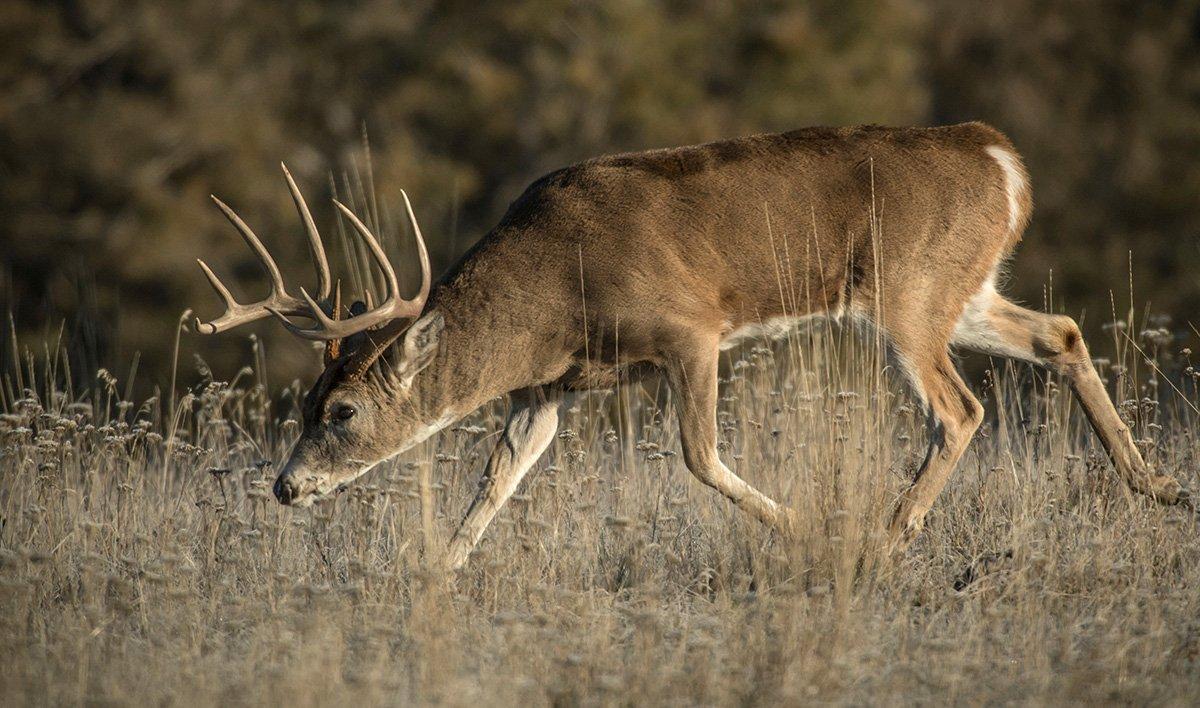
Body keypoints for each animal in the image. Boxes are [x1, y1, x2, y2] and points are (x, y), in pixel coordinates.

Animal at [192, 123, 1185, 571]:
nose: (284, 488)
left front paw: (815, 533)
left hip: (908, 293)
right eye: (303, 405)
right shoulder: (550, 386)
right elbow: (498, 479)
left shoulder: (689, 330)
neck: (554, 289)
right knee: (1059, 333)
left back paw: (885, 535)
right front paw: (433, 577)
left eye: (344, 410)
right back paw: (1160, 486)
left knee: (962, 407)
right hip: (960, 288)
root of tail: (1000, 158)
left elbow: (700, 457)